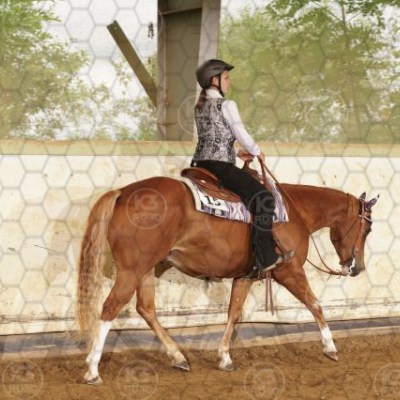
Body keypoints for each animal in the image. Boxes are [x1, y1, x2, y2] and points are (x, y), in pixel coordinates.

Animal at [77, 164, 377, 385]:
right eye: (367, 229)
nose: (357, 267)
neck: (294, 212)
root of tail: (122, 192)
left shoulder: (245, 276)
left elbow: (234, 312)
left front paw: (224, 357)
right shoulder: (289, 270)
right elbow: (315, 304)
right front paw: (330, 347)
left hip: (147, 269)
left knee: (146, 308)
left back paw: (178, 357)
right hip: (132, 269)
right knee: (110, 307)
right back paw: (92, 370)